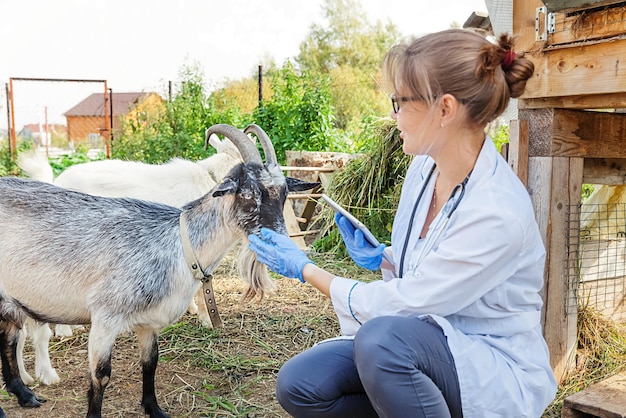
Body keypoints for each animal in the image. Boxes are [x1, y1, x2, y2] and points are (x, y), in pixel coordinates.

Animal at [0, 122, 312, 416]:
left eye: (283, 193)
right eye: (246, 194)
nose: (280, 241)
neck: (180, 245)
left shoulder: (148, 322)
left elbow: (150, 363)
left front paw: (154, 409)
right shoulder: (105, 317)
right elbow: (101, 377)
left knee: (8, 337)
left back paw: (25, 395)